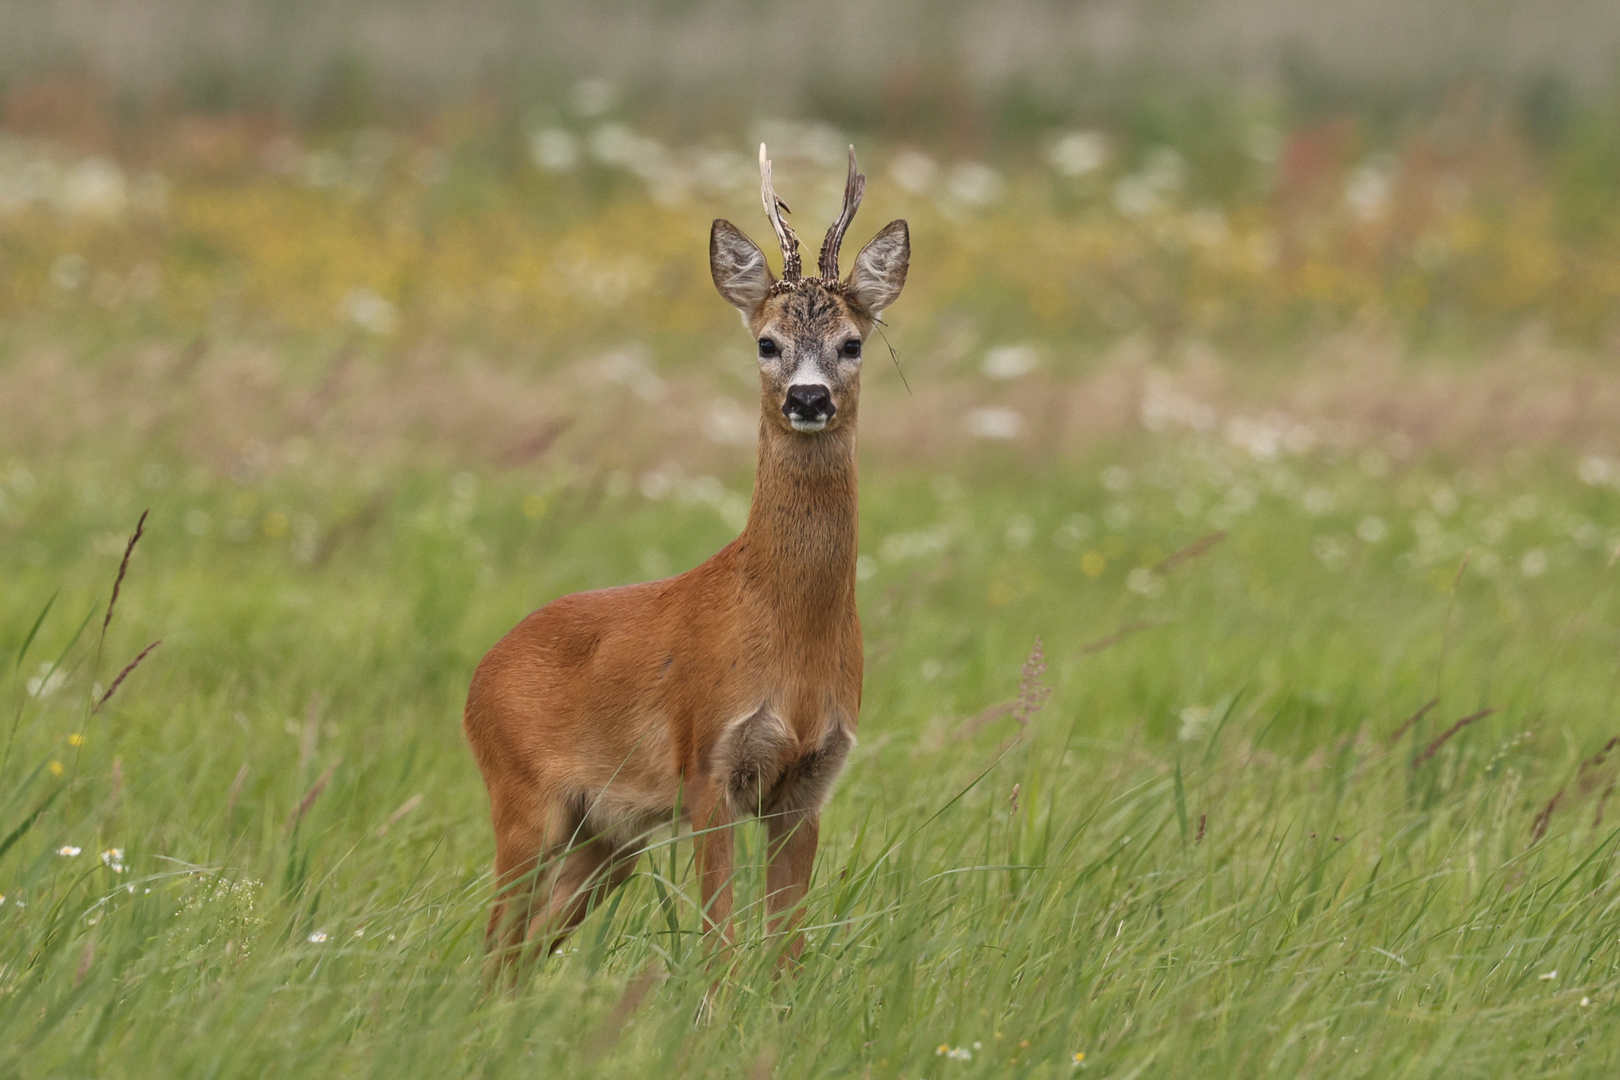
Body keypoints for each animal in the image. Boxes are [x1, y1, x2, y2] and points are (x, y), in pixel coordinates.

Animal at [466, 145, 913, 971]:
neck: (789, 634)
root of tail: (478, 677)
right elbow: (719, 944)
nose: (808, 399)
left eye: (852, 343)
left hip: (610, 835)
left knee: (528, 947)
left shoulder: (809, 783)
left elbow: (786, 951)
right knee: (496, 945)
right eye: (766, 343)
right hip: (523, 798)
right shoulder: (710, 762)